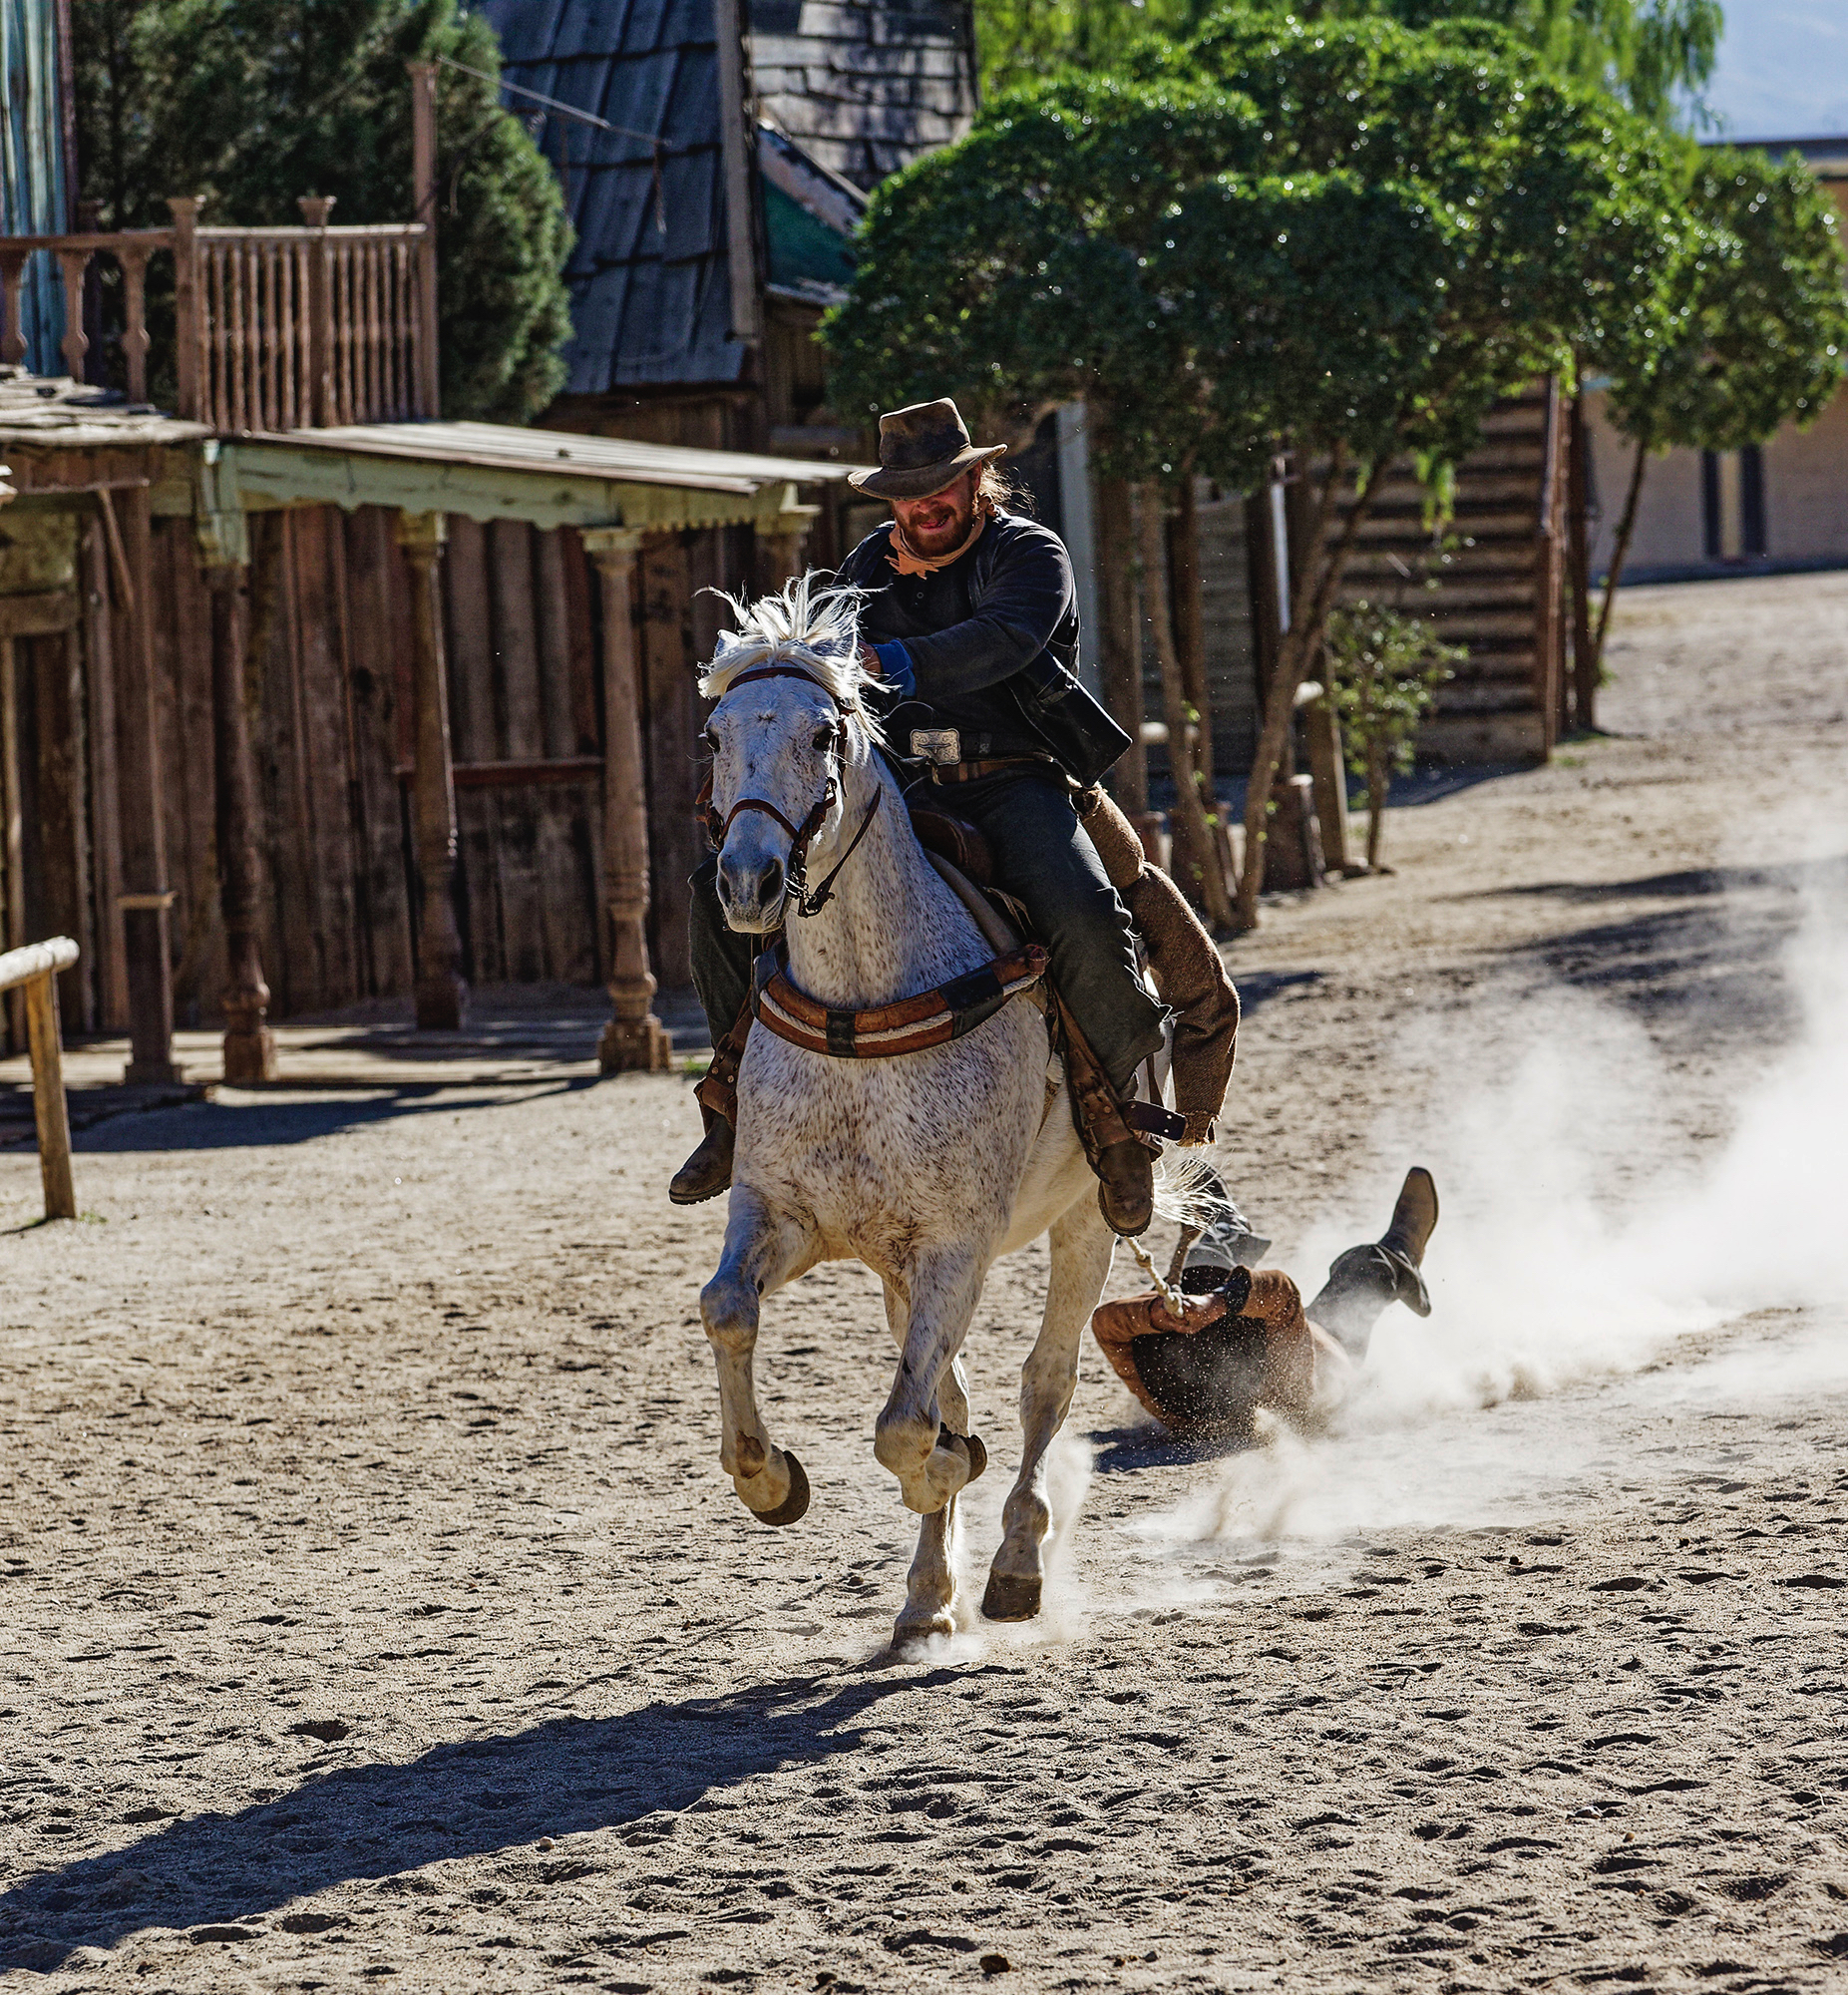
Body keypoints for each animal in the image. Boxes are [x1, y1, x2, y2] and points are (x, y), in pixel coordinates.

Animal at [702, 575, 1133, 1636]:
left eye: (824, 733)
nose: (746, 880)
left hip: (1084, 1220)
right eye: (713, 735)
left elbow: (907, 1426)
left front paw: (941, 1474)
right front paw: (768, 1479)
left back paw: (1014, 1562)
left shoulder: (956, 1245)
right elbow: (727, 1308)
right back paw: (927, 1596)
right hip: (898, 1267)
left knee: (1043, 1385)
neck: (863, 1006)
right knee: (965, 1392)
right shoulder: (787, 1217)